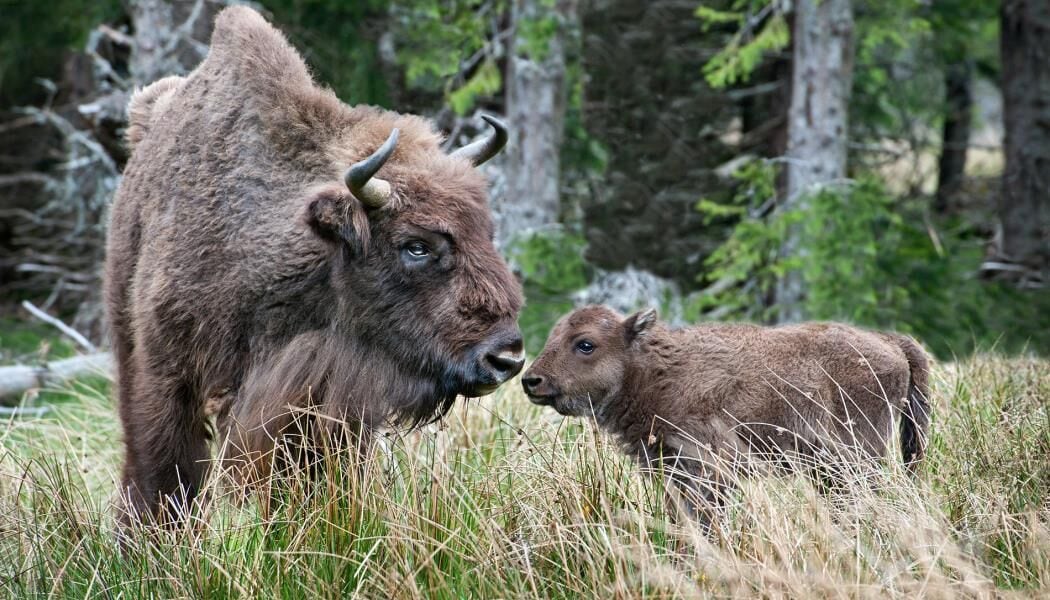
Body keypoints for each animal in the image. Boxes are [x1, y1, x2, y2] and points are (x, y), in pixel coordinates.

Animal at [106, 6, 524, 526]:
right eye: (416, 246)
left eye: (486, 232)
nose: (506, 357)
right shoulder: (170, 375)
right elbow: (166, 473)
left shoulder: (324, 401)